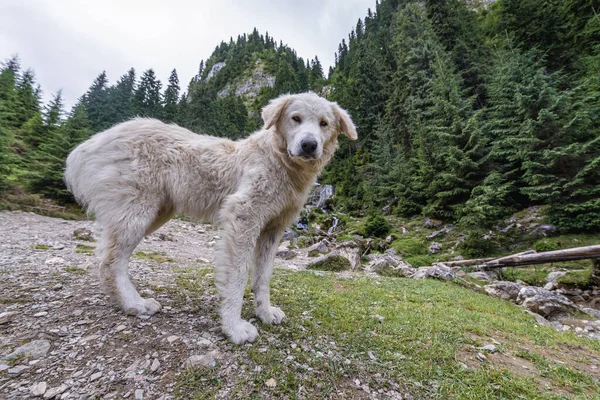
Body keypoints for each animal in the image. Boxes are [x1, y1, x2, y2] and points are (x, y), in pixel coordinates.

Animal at [65, 91, 356, 344]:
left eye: (324, 124)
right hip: (137, 211)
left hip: (153, 214)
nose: (309, 145)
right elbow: (237, 277)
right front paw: (234, 328)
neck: (279, 162)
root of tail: (93, 142)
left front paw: (265, 313)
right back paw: (134, 304)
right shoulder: (243, 216)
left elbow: (263, 277)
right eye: (295, 118)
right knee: (110, 261)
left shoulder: (273, 229)